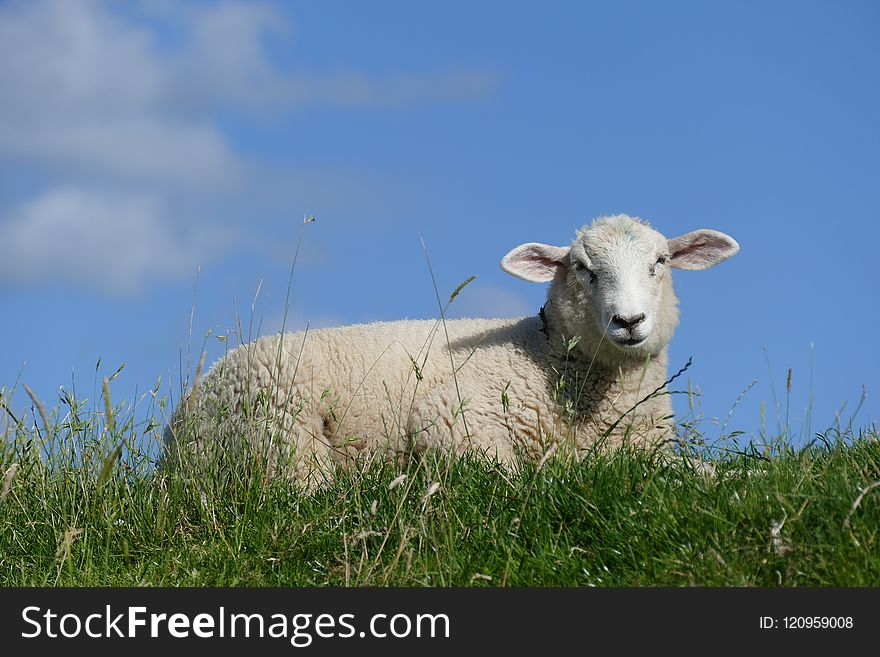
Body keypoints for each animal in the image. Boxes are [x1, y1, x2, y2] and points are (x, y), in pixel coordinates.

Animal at [163, 215, 736, 482]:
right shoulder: (452, 415)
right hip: (279, 426)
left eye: (661, 262)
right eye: (583, 268)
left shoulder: (650, 448)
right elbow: (514, 473)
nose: (629, 321)